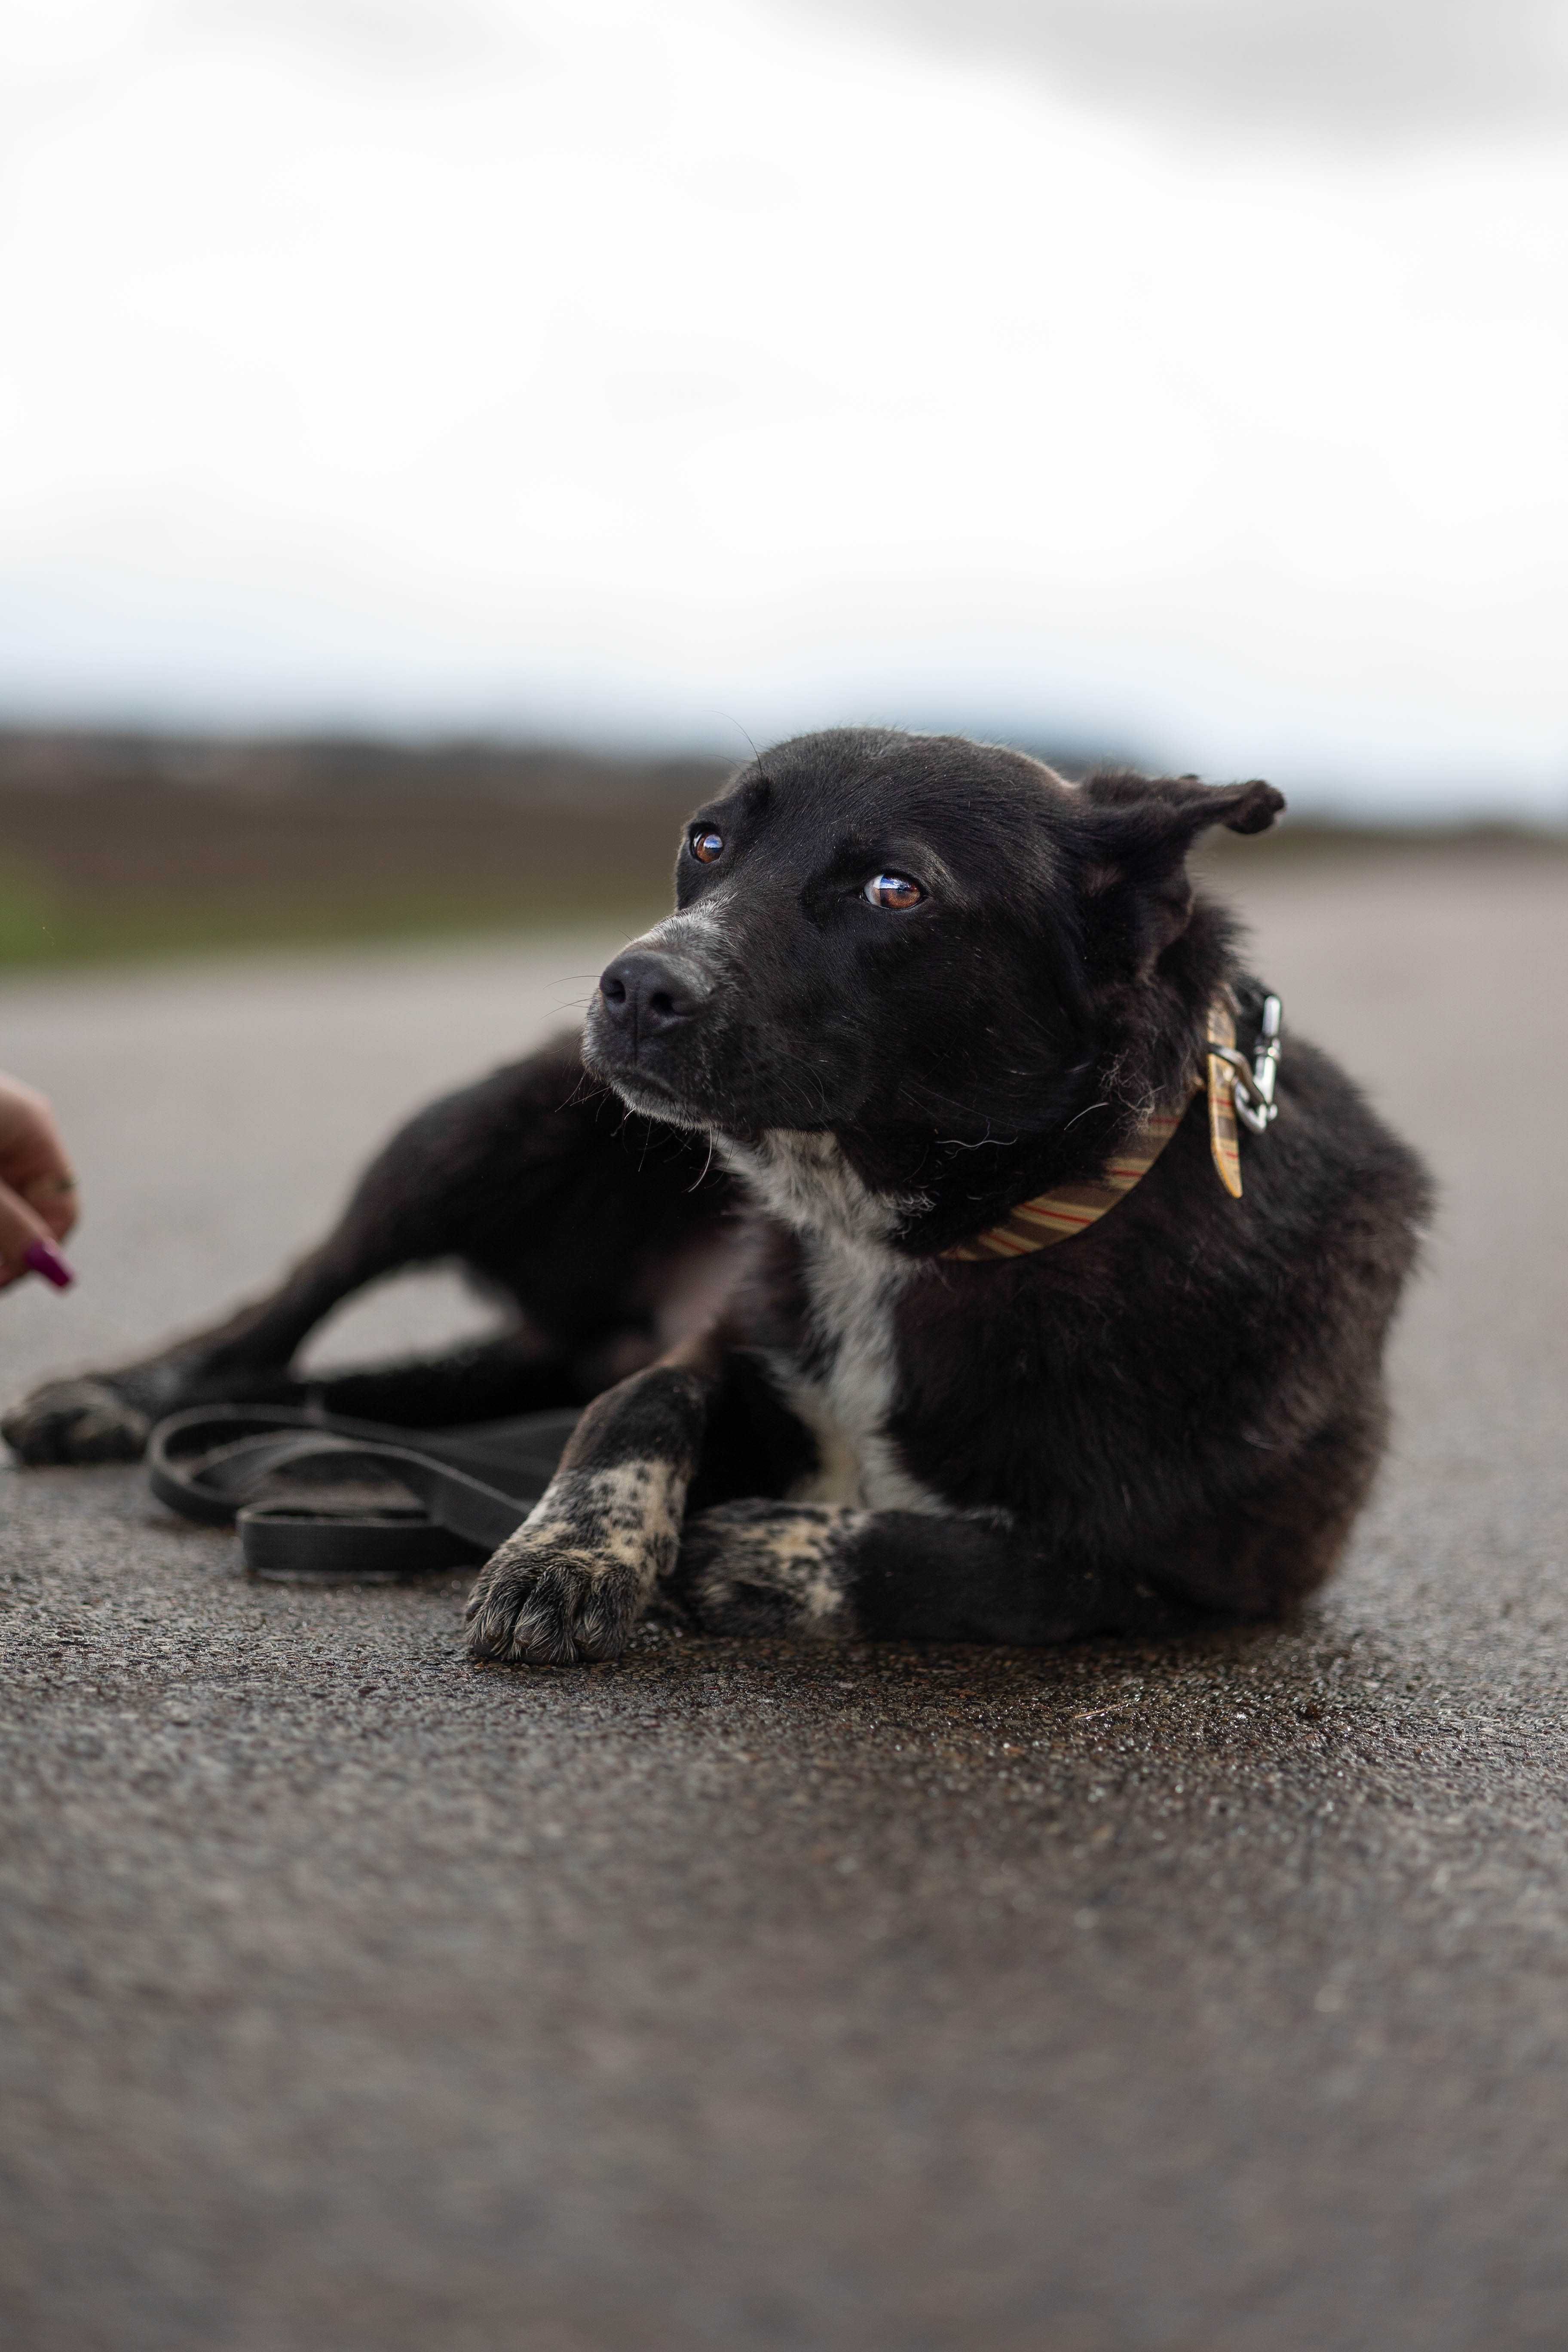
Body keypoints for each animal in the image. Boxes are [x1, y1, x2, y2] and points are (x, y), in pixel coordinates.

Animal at [3, 724, 1439, 1665]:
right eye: (705, 841)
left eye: (894, 887)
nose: (634, 985)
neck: (909, 1240)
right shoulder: (721, 1337)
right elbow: (635, 1413)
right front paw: (570, 1553)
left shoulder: (1217, 1570)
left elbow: (995, 1564)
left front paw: (742, 1554)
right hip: (467, 1135)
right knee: (281, 1314)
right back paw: (115, 1398)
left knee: (353, 1392)